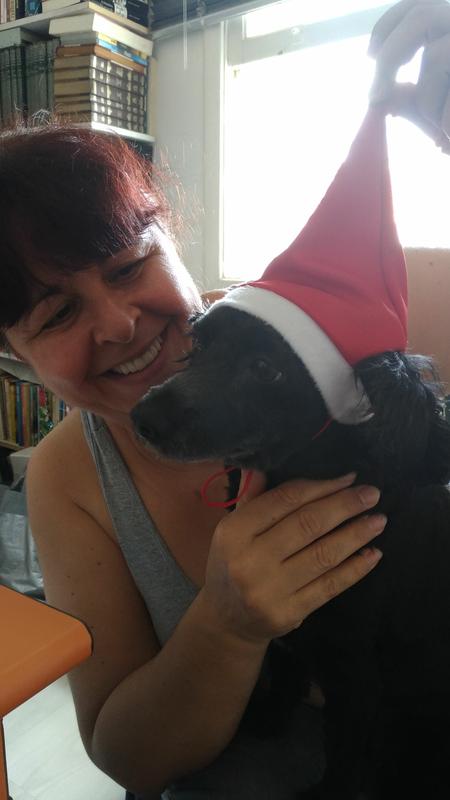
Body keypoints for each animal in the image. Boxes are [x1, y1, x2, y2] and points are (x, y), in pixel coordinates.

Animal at [131, 304, 450, 799]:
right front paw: (268, 717)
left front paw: (327, 792)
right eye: (200, 343)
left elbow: (344, 752)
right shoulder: (287, 618)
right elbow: (283, 665)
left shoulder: (355, 671)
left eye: (266, 368)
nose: (142, 418)